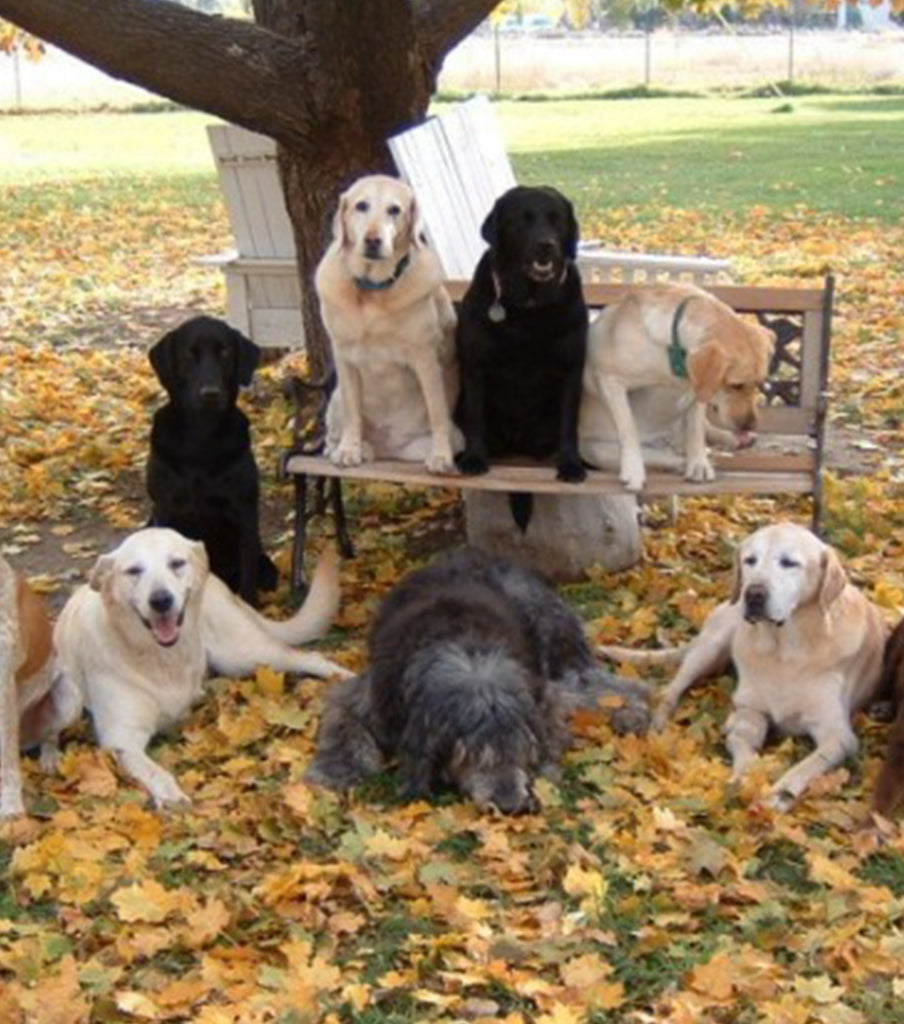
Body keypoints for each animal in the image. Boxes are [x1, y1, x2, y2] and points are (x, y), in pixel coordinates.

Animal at [145, 315, 278, 602]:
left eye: (225, 352)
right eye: (189, 353)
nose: (211, 393)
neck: (201, 439)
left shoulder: (244, 511)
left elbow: (248, 579)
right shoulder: (165, 507)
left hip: (266, 565)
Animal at [305, 548, 651, 811]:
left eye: (520, 748)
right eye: (468, 755)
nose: (511, 806)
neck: (463, 650)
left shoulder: (542, 696)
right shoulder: (367, 697)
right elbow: (345, 727)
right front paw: (334, 770)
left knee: (610, 687)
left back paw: (632, 712)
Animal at [456, 186, 589, 528]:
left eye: (557, 220)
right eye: (521, 220)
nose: (547, 245)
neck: (528, 307)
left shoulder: (571, 369)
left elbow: (569, 423)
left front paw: (571, 463)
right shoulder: (475, 367)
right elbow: (476, 417)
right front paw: (474, 458)